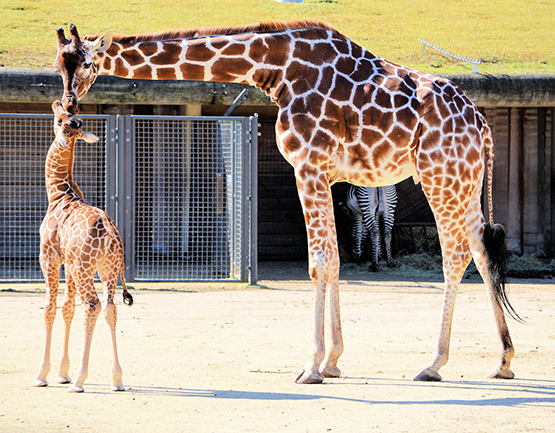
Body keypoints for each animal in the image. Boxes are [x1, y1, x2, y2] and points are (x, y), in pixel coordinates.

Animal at [32, 100, 132, 392]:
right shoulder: (68, 263)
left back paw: (80, 380)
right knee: (110, 307)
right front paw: (62, 373)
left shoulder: (49, 257)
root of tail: (110, 232)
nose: (57, 102)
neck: (58, 194)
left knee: (92, 305)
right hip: (107, 269)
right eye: (68, 117)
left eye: (60, 120)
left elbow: (50, 308)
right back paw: (117, 379)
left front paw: (43, 375)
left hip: (86, 268)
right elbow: (67, 307)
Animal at [54, 22, 520, 384]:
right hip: (464, 181)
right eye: (60, 65)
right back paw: (503, 360)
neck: (275, 68)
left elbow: (320, 263)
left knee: (455, 257)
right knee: (482, 252)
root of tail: (481, 122)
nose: (71, 106)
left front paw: (311, 366)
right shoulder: (325, 173)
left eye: (89, 64)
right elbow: (334, 260)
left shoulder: (307, 165)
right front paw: (332, 361)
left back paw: (433, 364)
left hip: (441, 177)